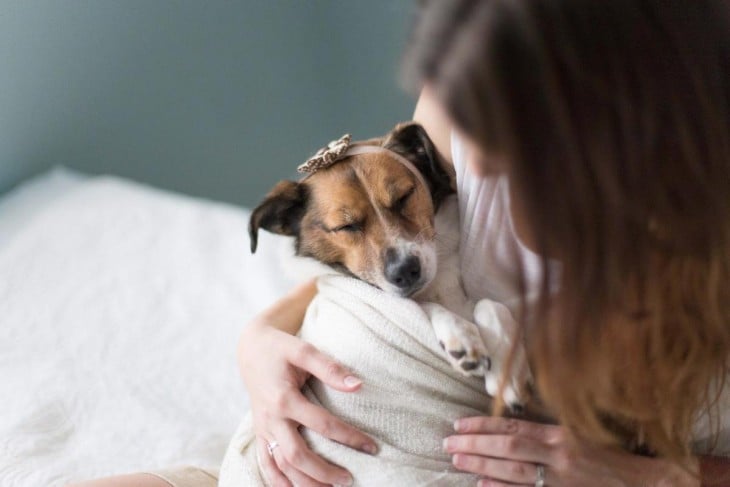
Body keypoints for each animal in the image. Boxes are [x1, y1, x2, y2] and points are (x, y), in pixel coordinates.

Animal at [249, 121, 528, 408]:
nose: (405, 271)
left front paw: (507, 372)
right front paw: (461, 334)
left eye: (403, 197)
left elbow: (490, 304)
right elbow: (422, 307)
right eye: (346, 226)